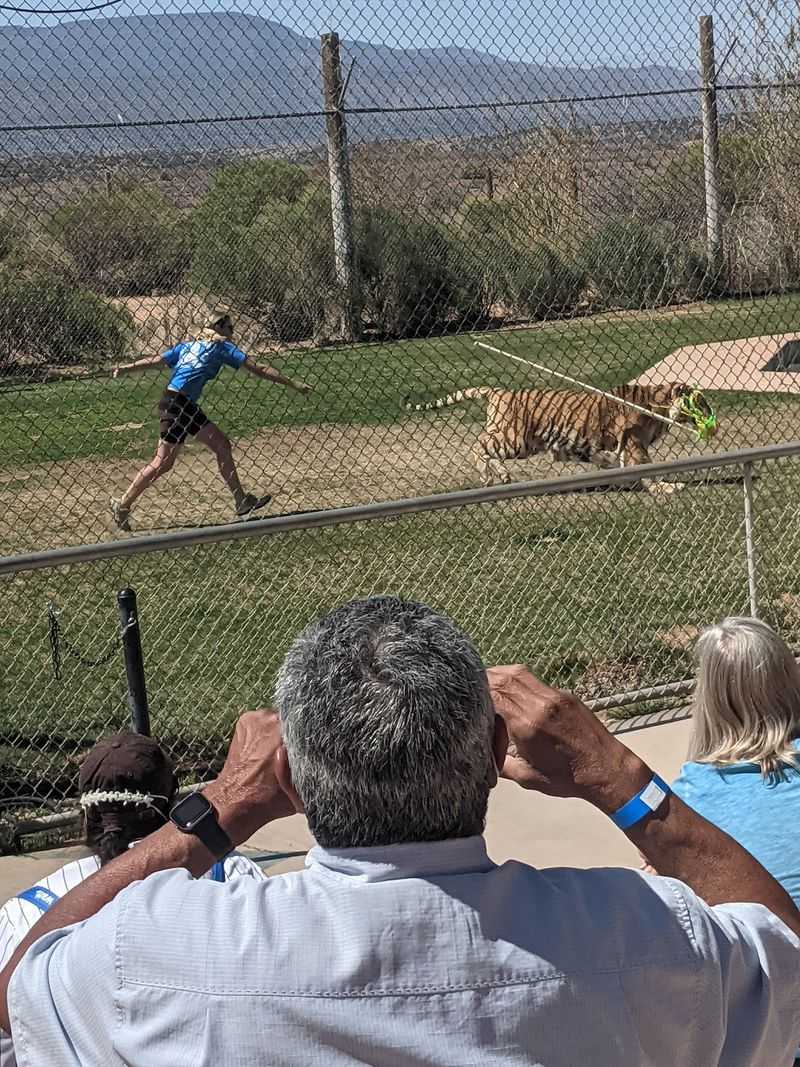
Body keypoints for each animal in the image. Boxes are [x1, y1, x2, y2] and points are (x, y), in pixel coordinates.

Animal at [403, 382, 717, 492]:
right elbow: (648, 469)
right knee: (478, 444)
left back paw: (502, 476)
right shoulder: (635, 445)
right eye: (700, 402)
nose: (712, 419)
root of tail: (498, 390)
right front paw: (667, 488)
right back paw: (487, 476)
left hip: (515, 442)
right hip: (515, 439)